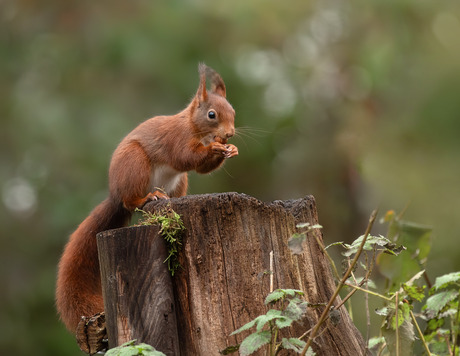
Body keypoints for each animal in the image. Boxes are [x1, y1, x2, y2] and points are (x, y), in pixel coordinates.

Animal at [55, 63, 239, 334]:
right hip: (135, 165)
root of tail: (115, 194)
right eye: (212, 115)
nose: (230, 134)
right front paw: (214, 148)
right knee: (131, 200)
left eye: (233, 112)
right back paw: (147, 197)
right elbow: (185, 157)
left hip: (179, 182)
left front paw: (230, 150)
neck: (195, 128)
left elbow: (202, 168)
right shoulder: (176, 139)